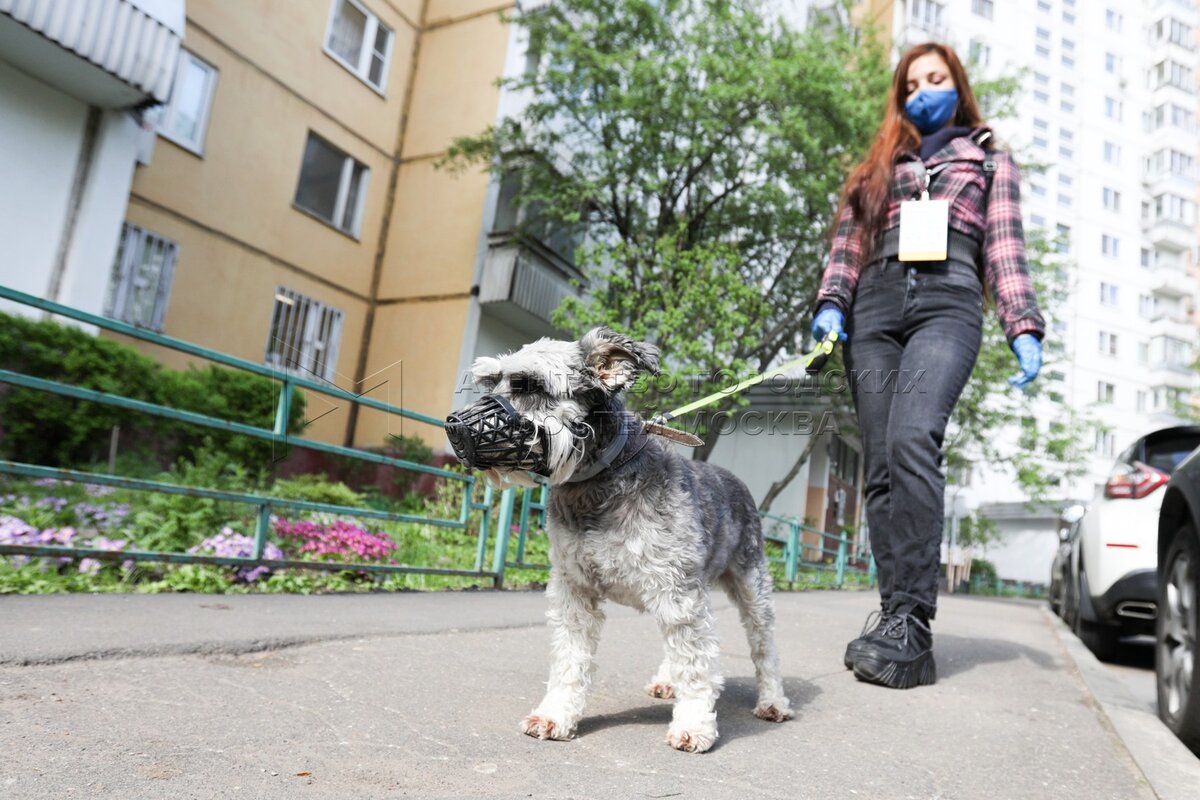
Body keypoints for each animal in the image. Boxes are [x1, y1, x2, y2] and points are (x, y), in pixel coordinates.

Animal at [446, 326, 792, 753]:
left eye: (531, 385)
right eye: (490, 381)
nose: (454, 427)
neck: (598, 481)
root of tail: (736, 481)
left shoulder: (678, 593)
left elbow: (696, 664)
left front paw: (694, 724)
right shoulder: (575, 592)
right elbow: (570, 660)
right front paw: (555, 714)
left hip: (750, 587)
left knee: (763, 646)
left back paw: (773, 700)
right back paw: (666, 681)